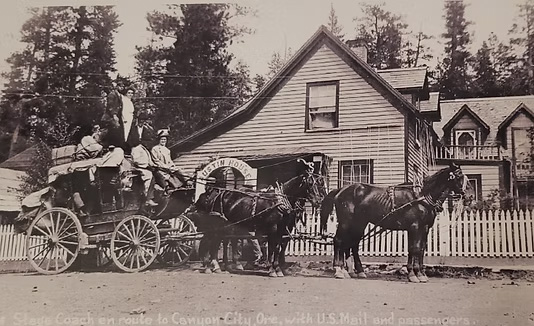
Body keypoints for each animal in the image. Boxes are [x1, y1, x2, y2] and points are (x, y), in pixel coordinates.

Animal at [191, 163, 328, 278]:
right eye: (310, 184)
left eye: (318, 184)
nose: (318, 201)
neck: (280, 202)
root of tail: (219, 194)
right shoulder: (273, 229)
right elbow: (273, 248)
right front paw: (273, 270)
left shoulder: (282, 230)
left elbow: (279, 248)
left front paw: (278, 269)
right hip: (217, 225)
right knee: (211, 241)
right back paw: (211, 266)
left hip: (228, 226)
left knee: (220, 241)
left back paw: (221, 266)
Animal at [320, 164, 466, 282]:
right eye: (458, 176)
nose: (465, 194)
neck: (421, 196)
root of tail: (340, 190)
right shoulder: (415, 227)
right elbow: (414, 249)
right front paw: (413, 274)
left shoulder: (423, 228)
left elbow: (419, 250)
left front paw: (420, 274)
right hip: (346, 222)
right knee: (338, 241)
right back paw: (339, 270)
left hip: (359, 223)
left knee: (352, 244)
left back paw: (356, 271)